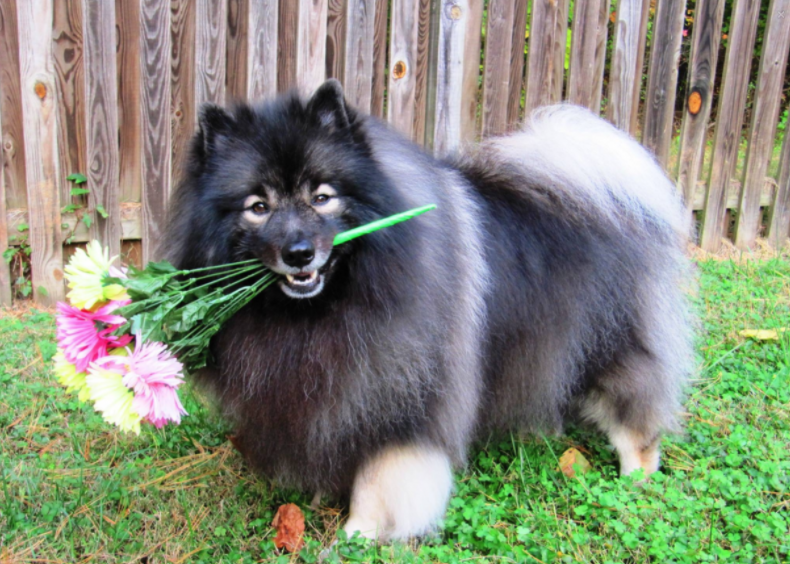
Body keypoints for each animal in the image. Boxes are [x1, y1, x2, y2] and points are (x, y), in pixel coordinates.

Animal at [162, 79, 693, 541]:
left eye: (322, 197)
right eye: (258, 207)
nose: (298, 253)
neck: (325, 309)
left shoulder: (400, 401)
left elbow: (378, 481)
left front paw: (358, 534)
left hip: (613, 346)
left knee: (636, 415)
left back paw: (637, 477)